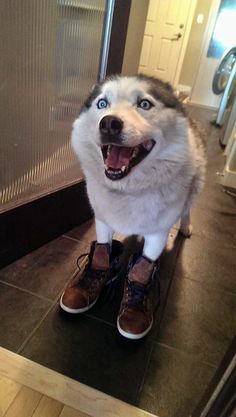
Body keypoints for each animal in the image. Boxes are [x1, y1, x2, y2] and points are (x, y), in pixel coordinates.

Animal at [61, 75, 206, 338]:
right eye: (102, 104)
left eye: (144, 104)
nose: (109, 123)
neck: (128, 190)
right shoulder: (102, 222)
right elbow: (103, 253)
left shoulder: (158, 234)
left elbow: (143, 267)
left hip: (196, 185)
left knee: (187, 209)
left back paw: (185, 227)